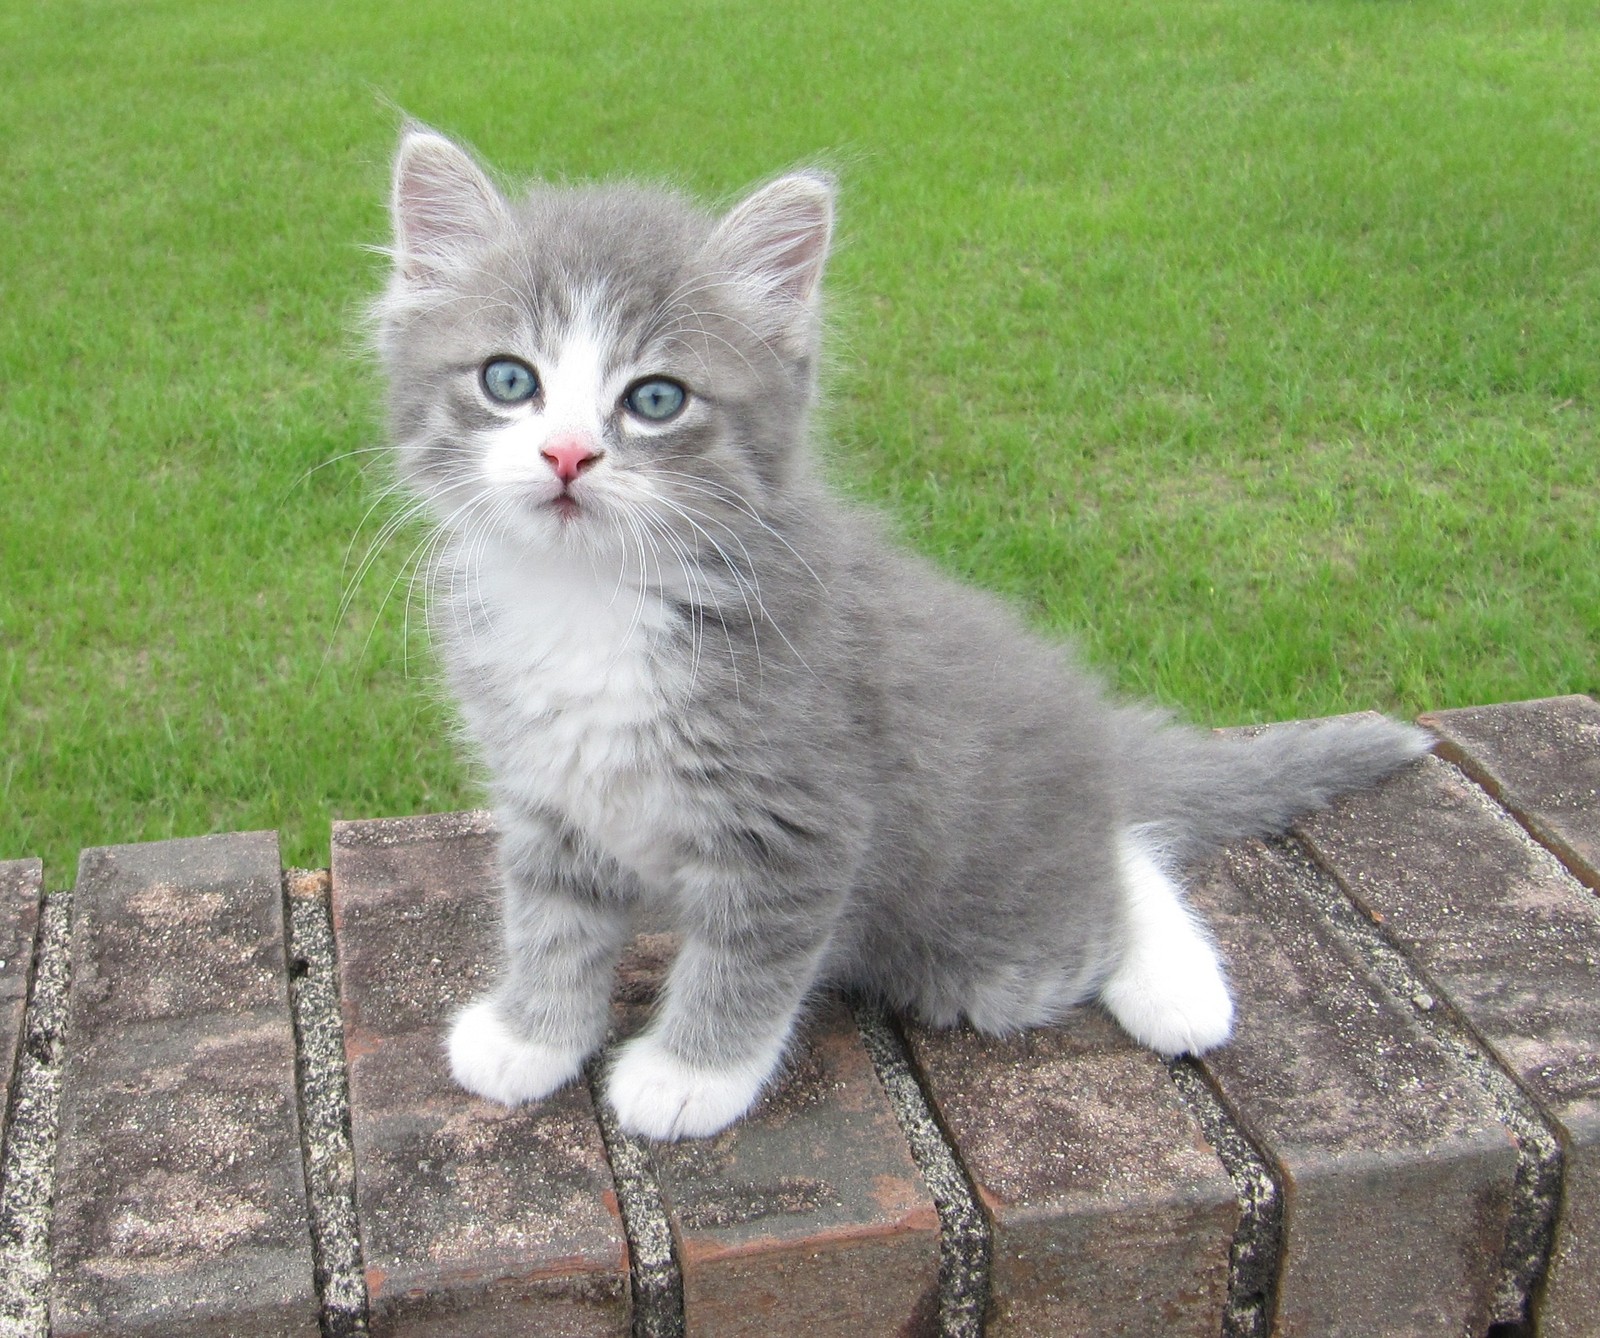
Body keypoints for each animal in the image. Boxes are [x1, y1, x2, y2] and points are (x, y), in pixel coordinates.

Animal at [377, 125, 1440, 1139]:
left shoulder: (804, 813)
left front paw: (690, 1078)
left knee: (1111, 873)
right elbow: (552, 922)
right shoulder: (547, 790)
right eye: (508, 379)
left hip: (995, 953)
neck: (590, 597)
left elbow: (747, 961)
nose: (566, 455)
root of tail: (1085, 731)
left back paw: (1179, 989)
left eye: (656, 398)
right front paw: (533, 1035)